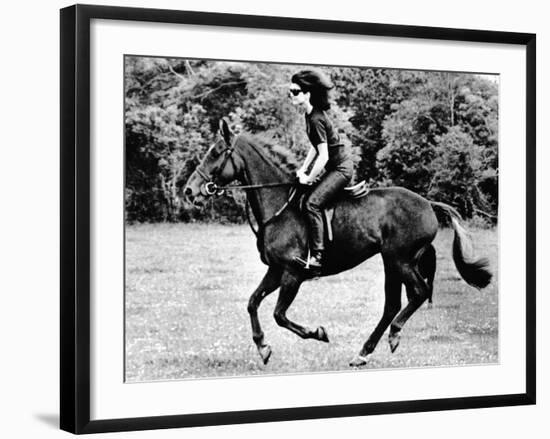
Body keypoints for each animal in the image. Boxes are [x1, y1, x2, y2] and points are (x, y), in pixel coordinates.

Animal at [183, 120, 494, 368]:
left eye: (215, 153)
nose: (189, 190)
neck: (279, 207)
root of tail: (428, 203)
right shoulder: (276, 270)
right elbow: (252, 303)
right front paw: (263, 347)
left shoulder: (293, 274)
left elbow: (279, 314)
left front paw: (318, 333)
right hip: (391, 261)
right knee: (392, 304)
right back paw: (363, 353)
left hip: (400, 259)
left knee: (418, 292)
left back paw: (393, 335)